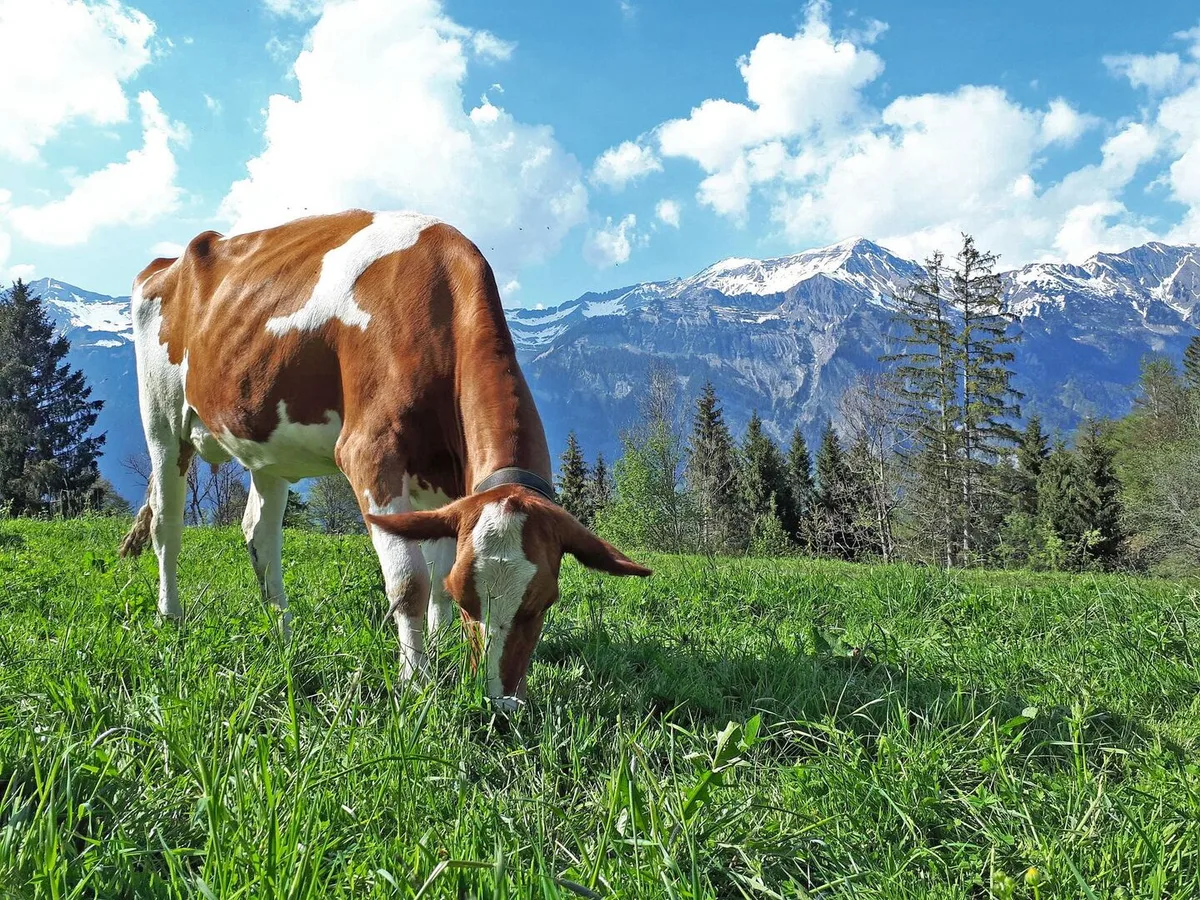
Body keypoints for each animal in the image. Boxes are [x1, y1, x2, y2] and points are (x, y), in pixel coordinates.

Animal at [118, 209, 651, 704]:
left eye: (544, 602)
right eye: (469, 597)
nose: (498, 701)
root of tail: (170, 261)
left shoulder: (446, 484)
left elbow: (435, 568)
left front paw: (437, 651)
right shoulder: (370, 454)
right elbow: (412, 581)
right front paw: (416, 682)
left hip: (267, 439)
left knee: (259, 533)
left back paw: (283, 635)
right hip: (162, 419)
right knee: (167, 523)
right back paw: (172, 619)